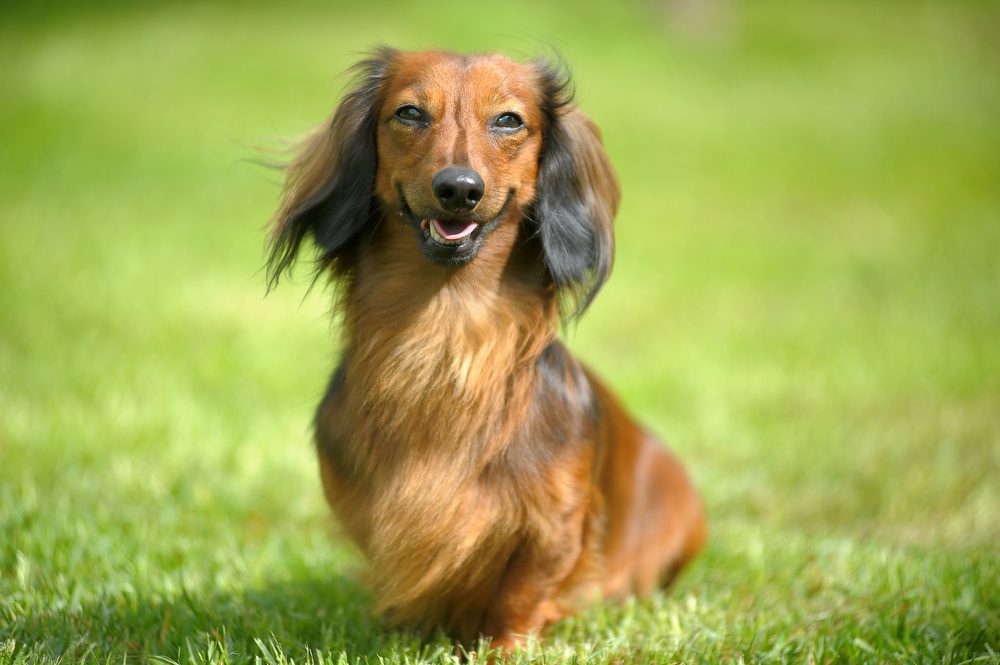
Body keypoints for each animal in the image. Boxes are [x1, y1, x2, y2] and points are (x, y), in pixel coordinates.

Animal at [266, 49, 704, 652]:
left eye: (509, 121)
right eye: (409, 113)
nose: (458, 188)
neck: (446, 337)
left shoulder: (556, 527)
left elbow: (520, 594)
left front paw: (503, 649)